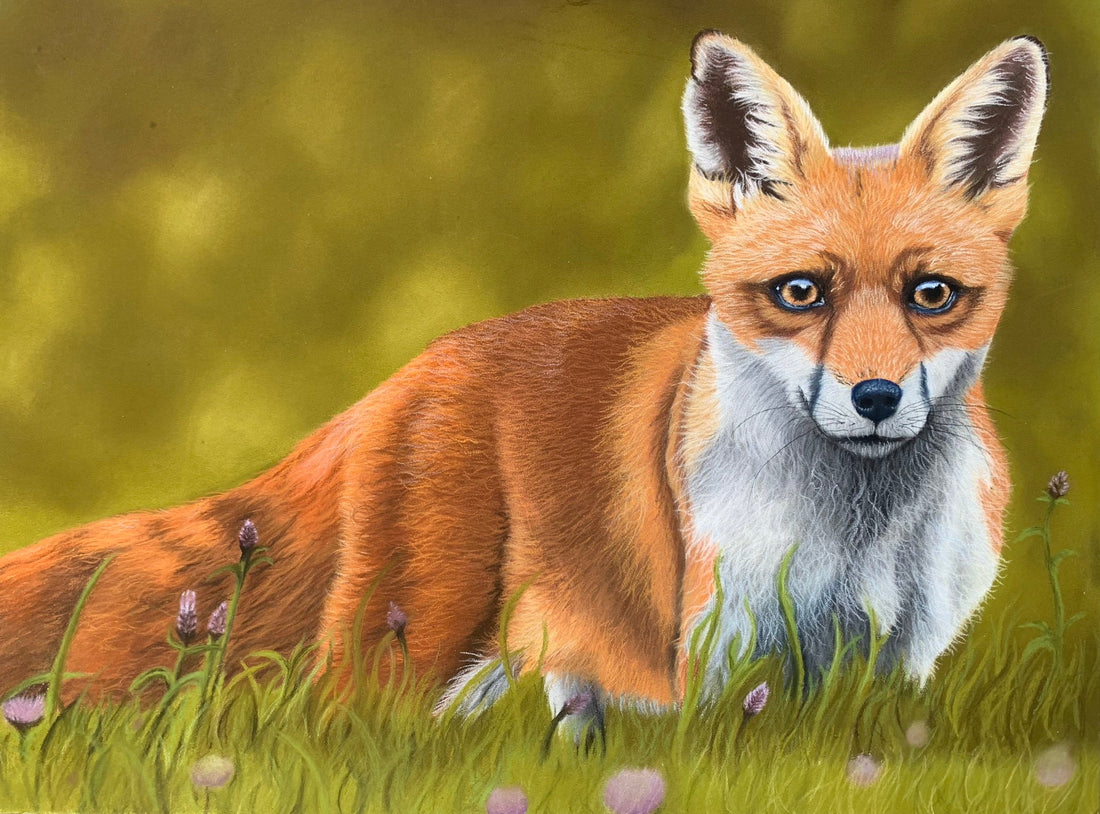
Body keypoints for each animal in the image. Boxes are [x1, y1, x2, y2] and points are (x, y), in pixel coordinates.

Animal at [0, 32, 1047, 728]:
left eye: (932, 295)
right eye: (800, 293)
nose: (875, 399)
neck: (854, 535)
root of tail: (419, 365)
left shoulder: (892, 671)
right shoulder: (709, 666)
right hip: (411, 646)